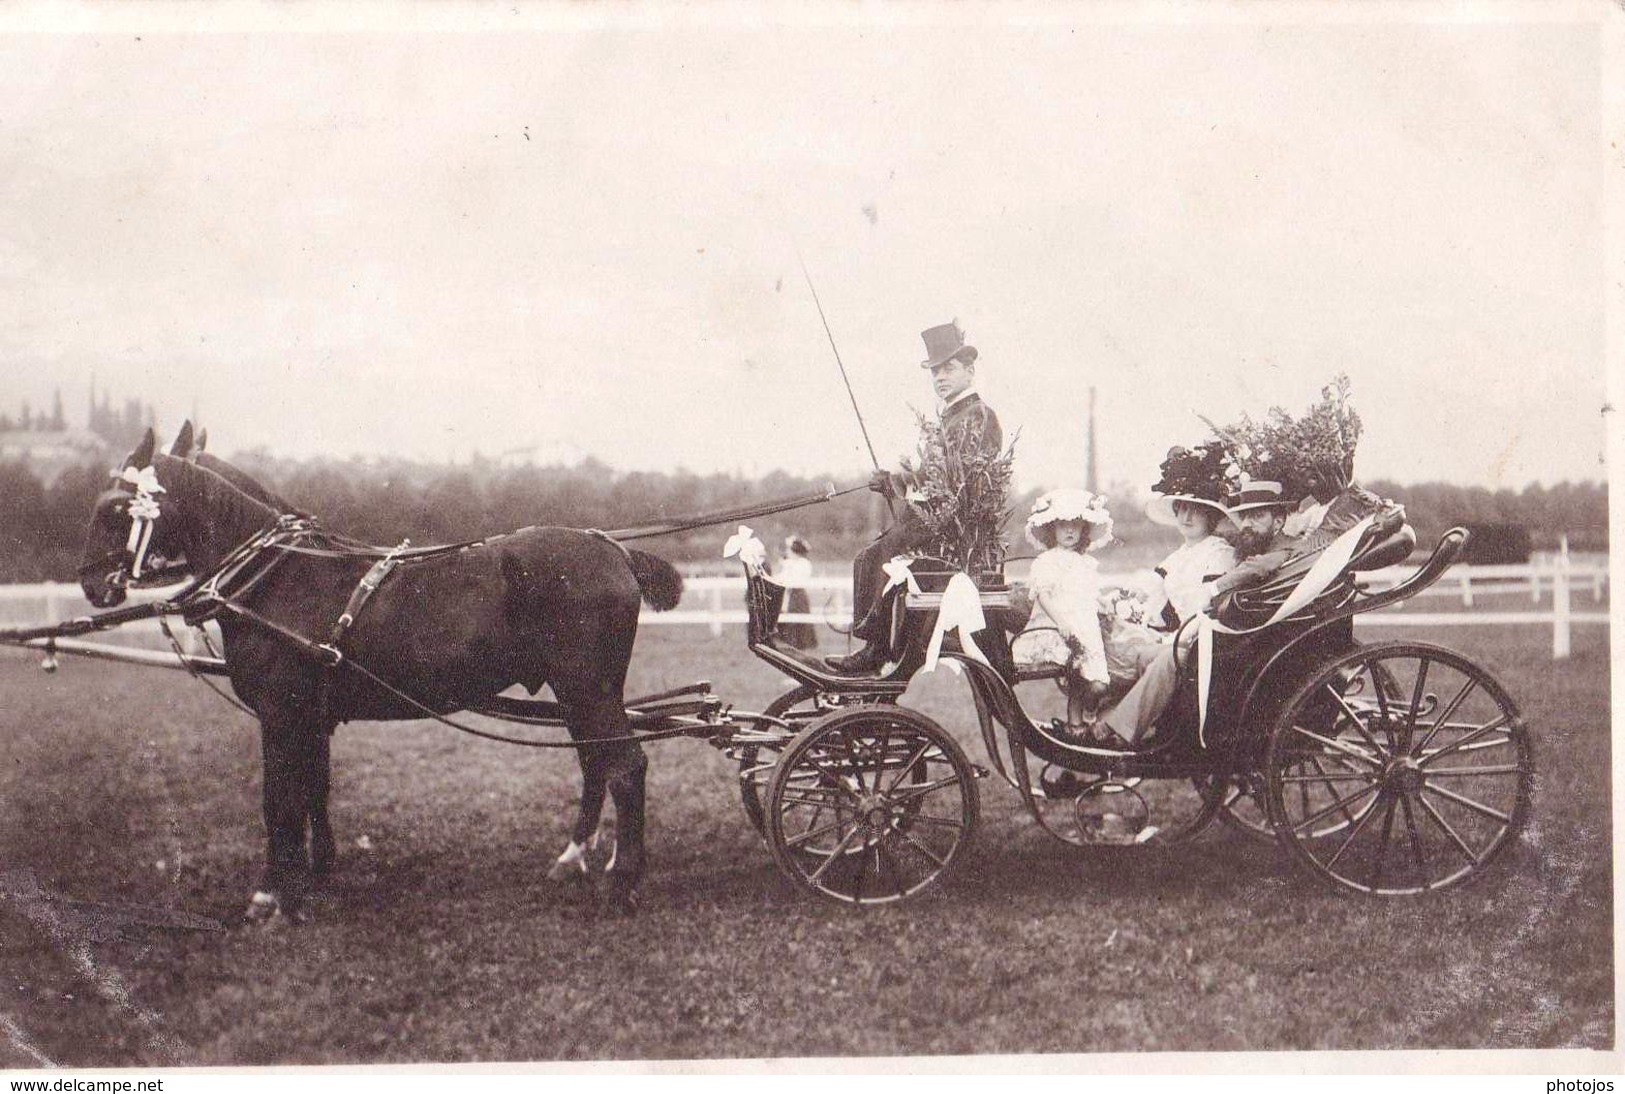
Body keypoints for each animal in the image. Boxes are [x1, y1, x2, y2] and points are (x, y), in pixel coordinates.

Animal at [77, 425, 679, 910]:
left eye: (115, 509)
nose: (91, 582)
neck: (280, 578)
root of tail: (612, 550)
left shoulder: (281, 715)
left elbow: (279, 800)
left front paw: (271, 896)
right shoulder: (311, 718)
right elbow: (313, 788)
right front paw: (316, 874)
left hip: (587, 688)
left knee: (624, 767)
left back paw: (623, 883)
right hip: (580, 693)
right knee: (598, 763)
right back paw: (578, 859)